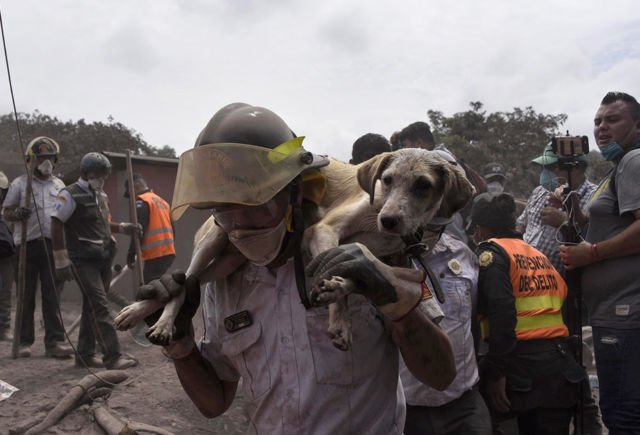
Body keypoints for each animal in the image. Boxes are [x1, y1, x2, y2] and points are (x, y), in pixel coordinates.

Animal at [115, 149, 476, 350]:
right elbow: (338, 279)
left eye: (423, 186)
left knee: (189, 283)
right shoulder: (323, 230)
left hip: (226, 262)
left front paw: (337, 291)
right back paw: (159, 322)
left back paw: (138, 312)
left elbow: (353, 276)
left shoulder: (380, 258)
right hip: (212, 241)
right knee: (179, 286)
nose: (389, 220)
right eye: (386, 180)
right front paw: (340, 321)